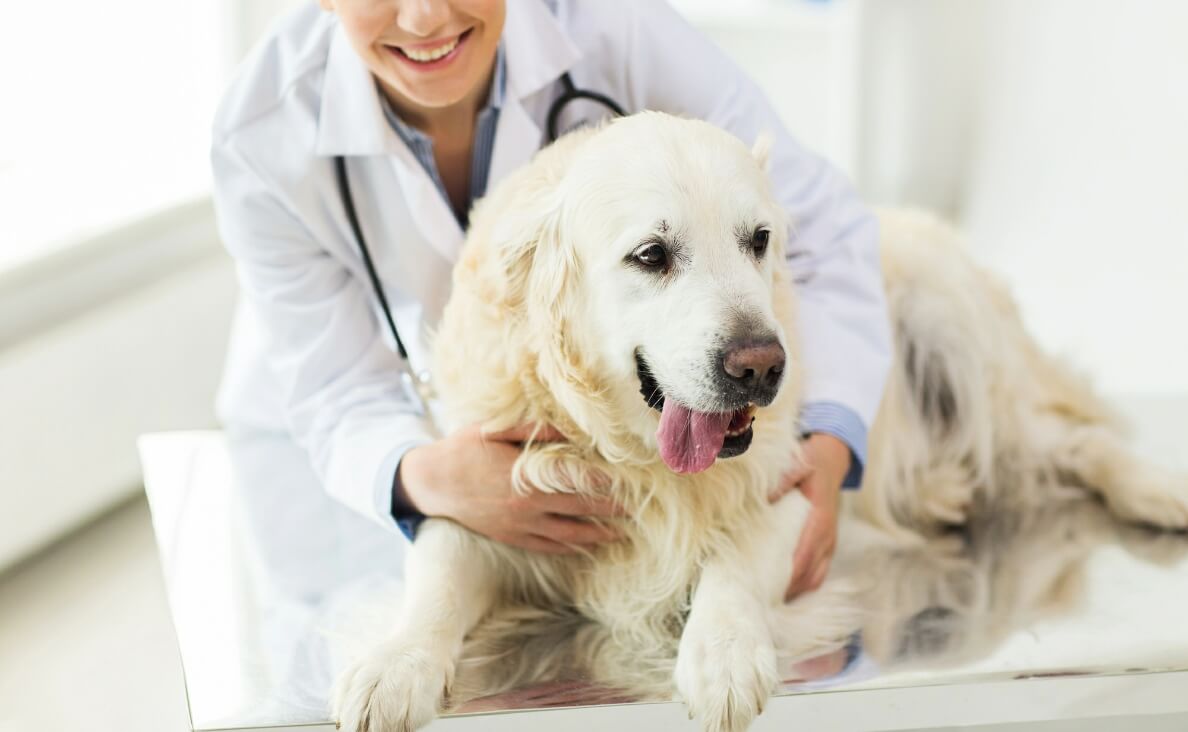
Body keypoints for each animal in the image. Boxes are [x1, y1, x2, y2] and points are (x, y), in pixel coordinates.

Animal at [330, 112, 1188, 732]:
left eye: (759, 239)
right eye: (651, 255)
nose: (761, 366)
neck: (639, 463)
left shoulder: (799, 490)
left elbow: (736, 560)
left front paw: (722, 653)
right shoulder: (492, 488)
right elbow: (439, 569)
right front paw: (392, 664)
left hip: (956, 336)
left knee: (1078, 441)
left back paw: (1159, 493)